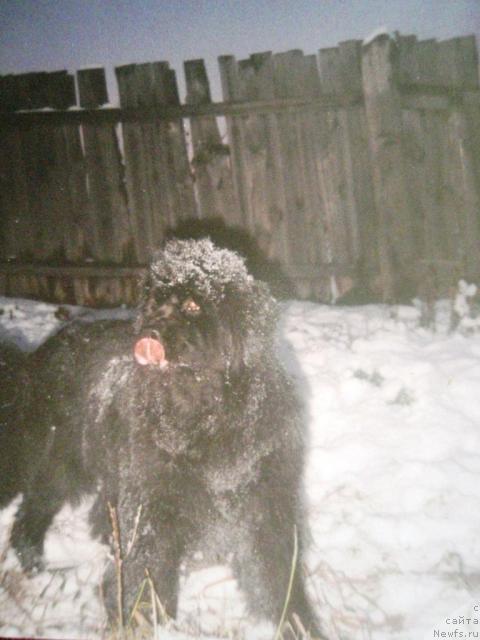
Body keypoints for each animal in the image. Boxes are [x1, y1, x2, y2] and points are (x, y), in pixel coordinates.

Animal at [1, 241, 322, 640]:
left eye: (193, 305)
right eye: (155, 301)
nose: (149, 334)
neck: (204, 414)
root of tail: (43, 351)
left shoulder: (265, 501)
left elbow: (277, 573)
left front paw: (299, 623)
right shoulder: (152, 503)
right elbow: (148, 568)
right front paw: (143, 619)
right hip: (61, 456)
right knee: (35, 505)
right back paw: (34, 562)